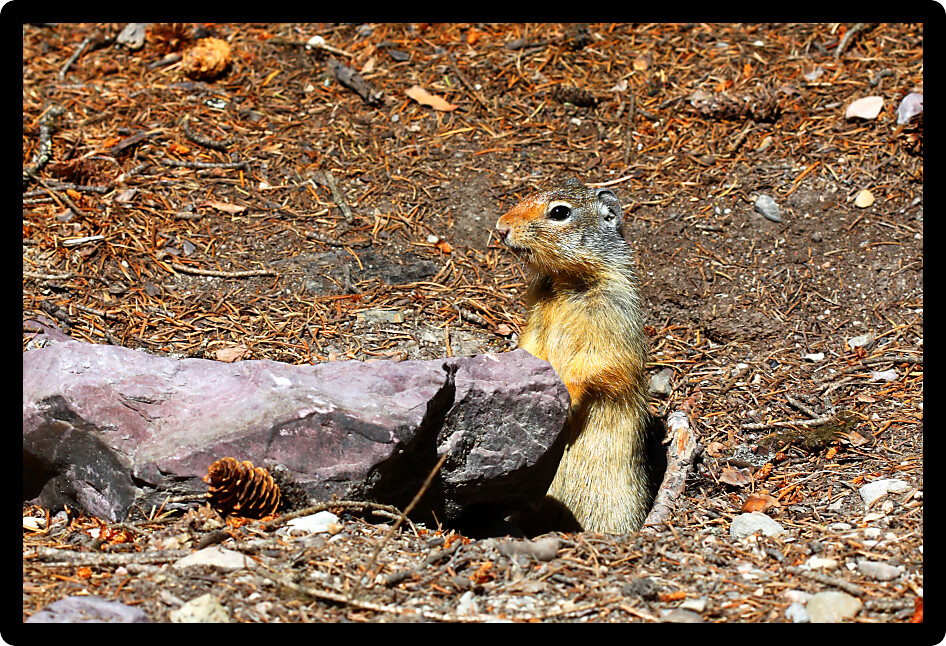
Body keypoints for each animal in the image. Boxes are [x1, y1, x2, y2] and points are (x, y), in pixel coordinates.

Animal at [496, 178, 654, 534]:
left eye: (559, 212)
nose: (500, 227)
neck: (565, 282)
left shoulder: (611, 320)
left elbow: (596, 364)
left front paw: (566, 398)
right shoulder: (536, 317)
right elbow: (531, 348)